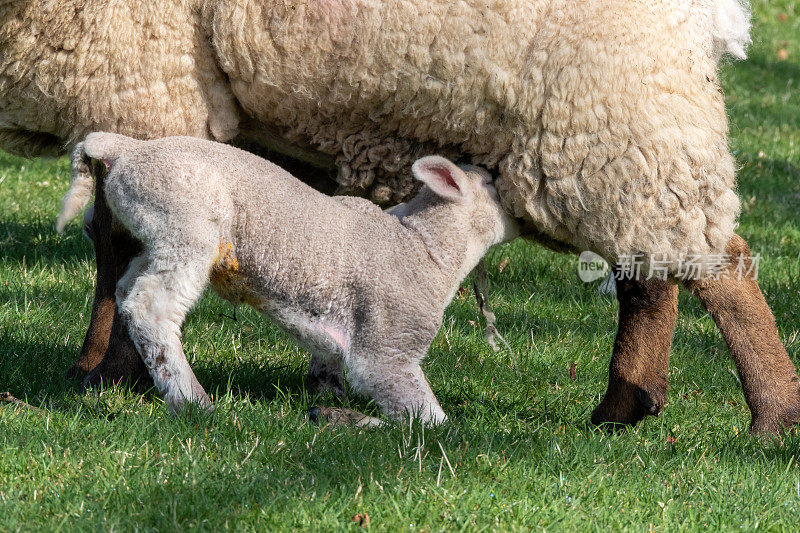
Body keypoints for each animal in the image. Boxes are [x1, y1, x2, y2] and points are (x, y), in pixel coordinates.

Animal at [56, 133, 520, 424]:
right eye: (492, 183)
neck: (424, 248)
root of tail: (127, 148)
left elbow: (328, 361)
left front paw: (328, 403)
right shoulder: (389, 343)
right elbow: (429, 419)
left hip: (156, 232)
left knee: (124, 289)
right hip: (185, 221)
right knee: (151, 306)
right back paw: (193, 401)